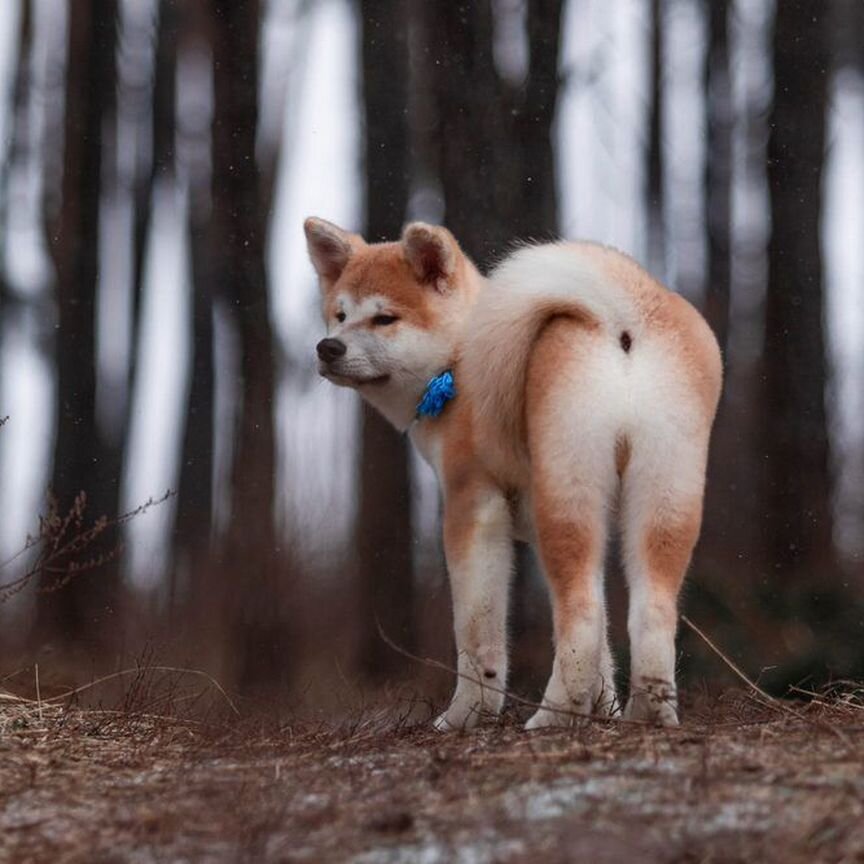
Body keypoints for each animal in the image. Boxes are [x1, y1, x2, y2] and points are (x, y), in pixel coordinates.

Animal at [304, 216, 724, 728]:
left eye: (385, 318)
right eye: (340, 314)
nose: (328, 347)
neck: (456, 360)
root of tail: (622, 317)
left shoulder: (473, 508)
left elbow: (477, 635)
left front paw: (464, 716)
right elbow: (605, 651)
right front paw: (602, 710)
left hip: (565, 501)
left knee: (581, 614)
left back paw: (550, 717)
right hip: (663, 499)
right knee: (652, 613)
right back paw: (646, 714)